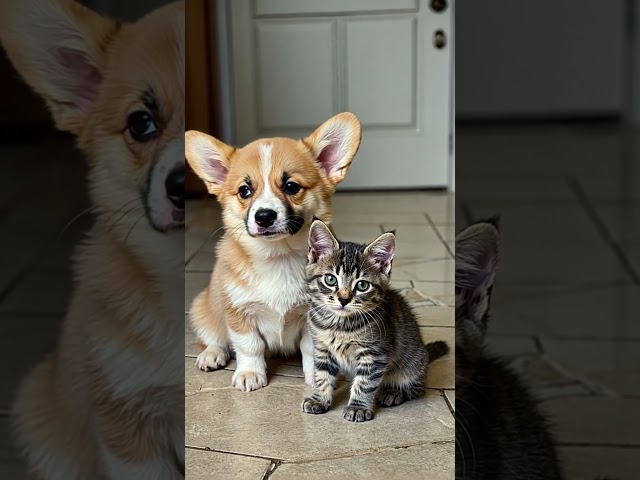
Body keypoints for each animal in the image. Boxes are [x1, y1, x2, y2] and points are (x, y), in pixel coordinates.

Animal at [184, 114, 360, 392]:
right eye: (244, 191)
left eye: (291, 186)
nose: (264, 216)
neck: (278, 256)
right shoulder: (239, 313)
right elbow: (249, 346)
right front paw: (249, 374)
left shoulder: (313, 317)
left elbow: (311, 349)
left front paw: (316, 376)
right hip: (203, 307)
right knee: (213, 338)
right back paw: (212, 354)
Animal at [302, 219, 448, 422]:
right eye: (330, 279)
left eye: (362, 285)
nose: (344, 299)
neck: (338, 325)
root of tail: (424, 353)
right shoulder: (322, 349)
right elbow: (322, 375)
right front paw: (319, 399)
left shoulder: (375, 354)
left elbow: (364, 382)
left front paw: (358, 407)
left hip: (413, 363)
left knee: (417, 388)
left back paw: (393, 392)